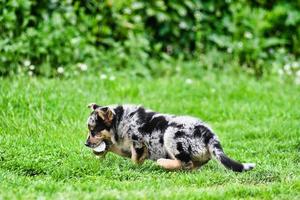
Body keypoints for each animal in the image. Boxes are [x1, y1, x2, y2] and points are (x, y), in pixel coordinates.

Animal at [85, 103, 255, 172]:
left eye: (93, 131)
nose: (86, 144)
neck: (120, 120)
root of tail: (209, 135)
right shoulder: (126, 146)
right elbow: (115, 147)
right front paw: (102, 151)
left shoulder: (138, 143)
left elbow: (134, 160)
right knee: (193, 165)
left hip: (170, 134)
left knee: (185, 163)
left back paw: (163, 163)